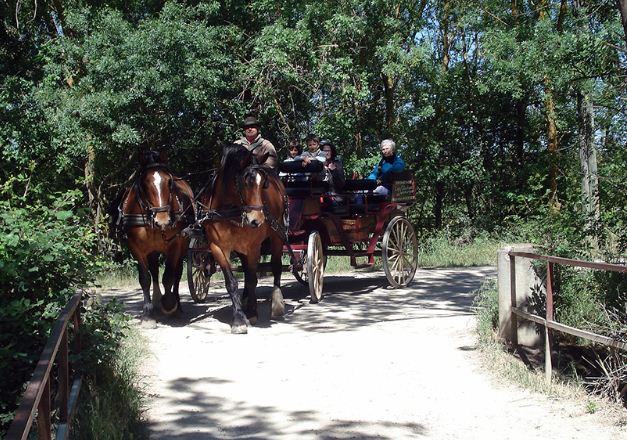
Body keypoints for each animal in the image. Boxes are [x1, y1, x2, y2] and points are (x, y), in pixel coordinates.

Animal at [118, 151, 194, 320]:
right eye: (144, 184)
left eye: (169, 182)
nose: (163, 220)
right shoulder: (135, 247)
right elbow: (145, 278)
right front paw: (147, 312)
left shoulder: (175, 245)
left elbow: (169, 277)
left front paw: (169, 303)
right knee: (154, 271)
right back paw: (157, 299)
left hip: (183, 244)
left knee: (177, 273)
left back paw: (176, 304)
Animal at [200, 144, 288, 334]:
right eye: (245, 182)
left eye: (263, 184)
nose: (257, 220)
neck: (229, 210)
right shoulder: (217, 247)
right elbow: (232, 282)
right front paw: (239, 318)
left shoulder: (253, 247)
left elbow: (253, 278)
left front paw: (253, 313)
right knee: (247, 270)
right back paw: (246, 301)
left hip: (277, 234)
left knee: (276, 267)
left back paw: (277, 304)